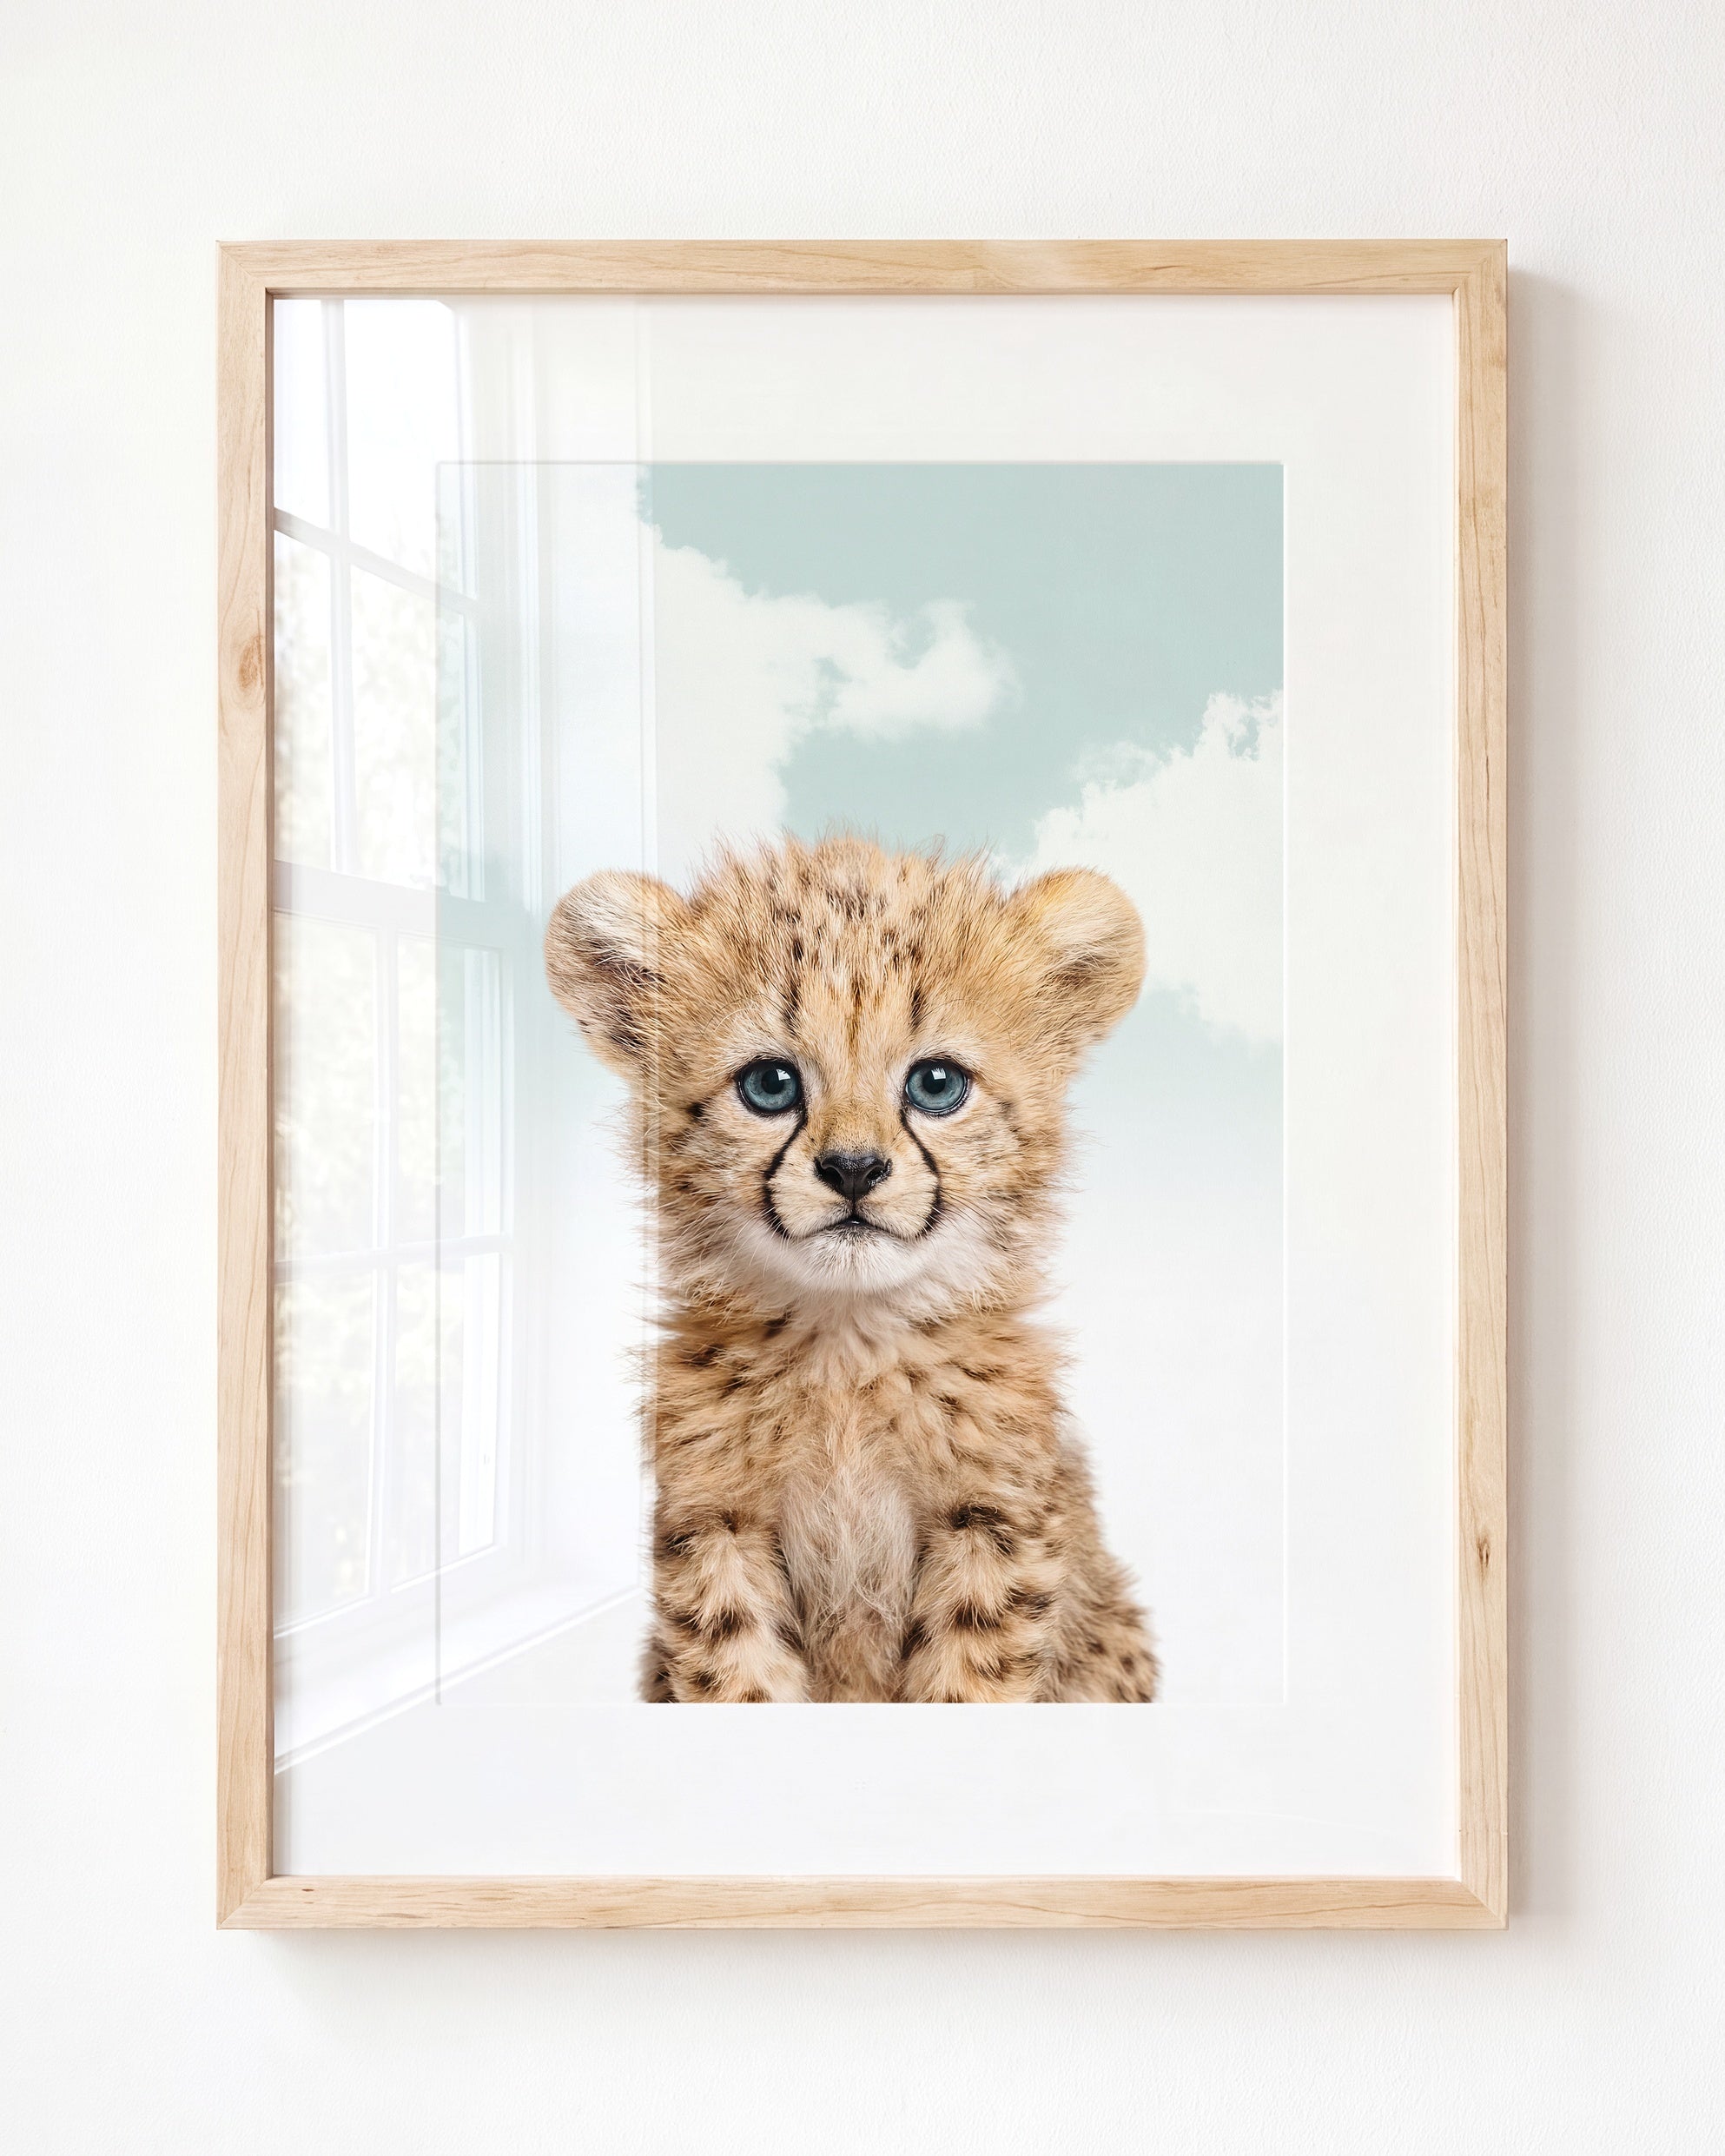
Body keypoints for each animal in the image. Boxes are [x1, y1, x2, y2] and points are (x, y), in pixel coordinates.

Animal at [544, 833, 1159, 1703]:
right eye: (770, 1084)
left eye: (936, 1083)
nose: (854, 1169)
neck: (848, 1344)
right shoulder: (716, 1526)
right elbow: (739, 1676)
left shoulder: (993, 1523)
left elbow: (969, 1680)